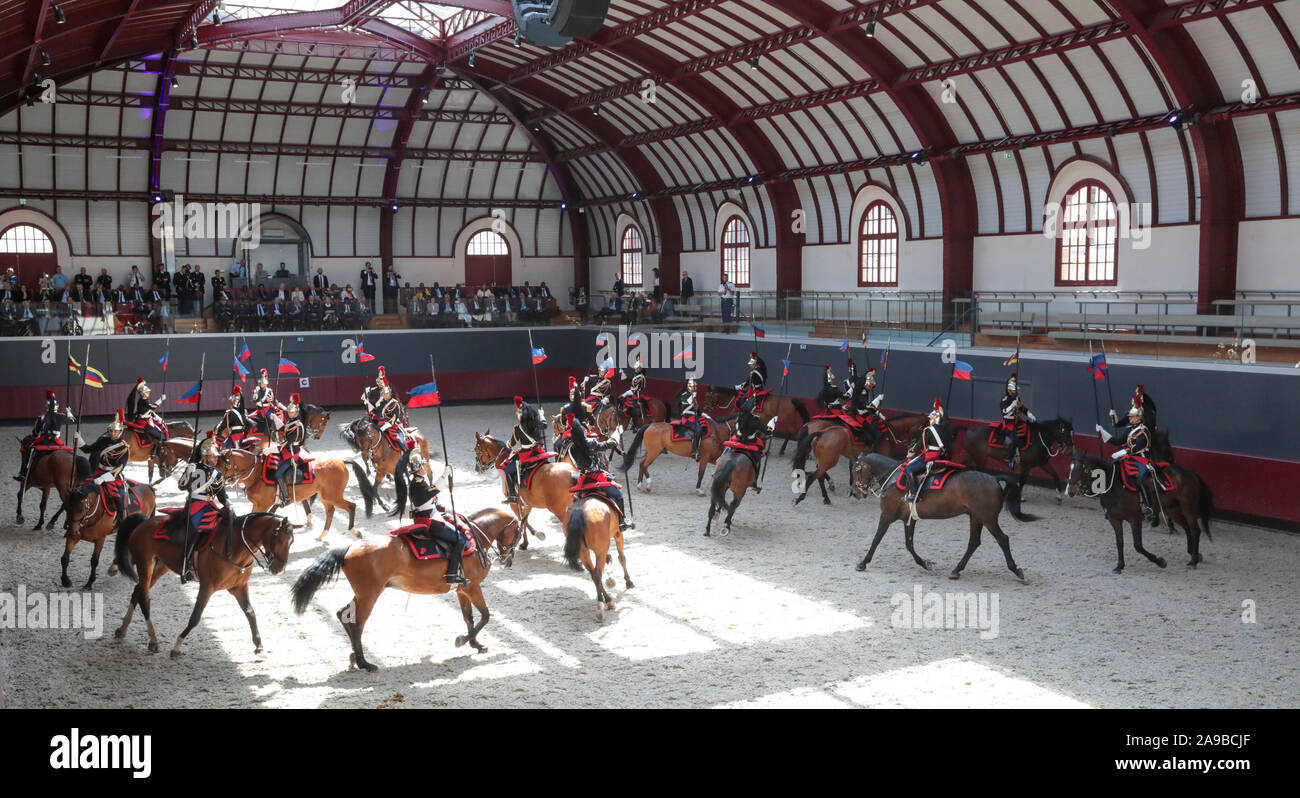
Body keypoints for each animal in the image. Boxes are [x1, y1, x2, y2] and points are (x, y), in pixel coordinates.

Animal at [213, 449, 374, 543]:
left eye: (225, 466)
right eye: (216, 466)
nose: (218, 481)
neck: (257, 473)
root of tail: (341, 461)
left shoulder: (261, 504)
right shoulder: (259, 505)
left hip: (332, 496)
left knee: (351, 506)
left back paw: (354, 532)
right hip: (326, 496)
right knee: (330, 512)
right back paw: (322, 535)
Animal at [292, 509, 520, 670]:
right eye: (518, 533)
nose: (508, 560)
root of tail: (350, 547)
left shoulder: (461, 590)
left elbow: (469, 618)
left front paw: (475, 644)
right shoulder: (473, 587)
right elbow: (485, 616)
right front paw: (463, 640)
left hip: (363, 594)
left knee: (343, 614)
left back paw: (354, 657)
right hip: (369, 595)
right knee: (357, 624)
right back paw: (364, 662)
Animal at [790, 413, 925, 506]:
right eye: (923, 428)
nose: (916, 447)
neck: (888, 433)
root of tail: (819, 432)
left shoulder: (854, 457)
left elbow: (854, 470)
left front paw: (855, 488)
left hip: (824, 459)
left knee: (819, 475)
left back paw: (826, 496)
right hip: (829, 460)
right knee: (816, 475)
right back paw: (803, 497)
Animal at [852, 457, 1034, 582]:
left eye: (855, 470)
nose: (855, 492)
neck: (894, 479)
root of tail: (994, 478)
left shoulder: (887, 516)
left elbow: (876, 539)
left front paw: (863, 562)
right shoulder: (908, 519)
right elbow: (909, 544)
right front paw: (925, 563)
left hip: (988, 518)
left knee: (1002, 539)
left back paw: (1016, 570)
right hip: (976, 517)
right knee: (974, 542)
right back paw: (956, 570)